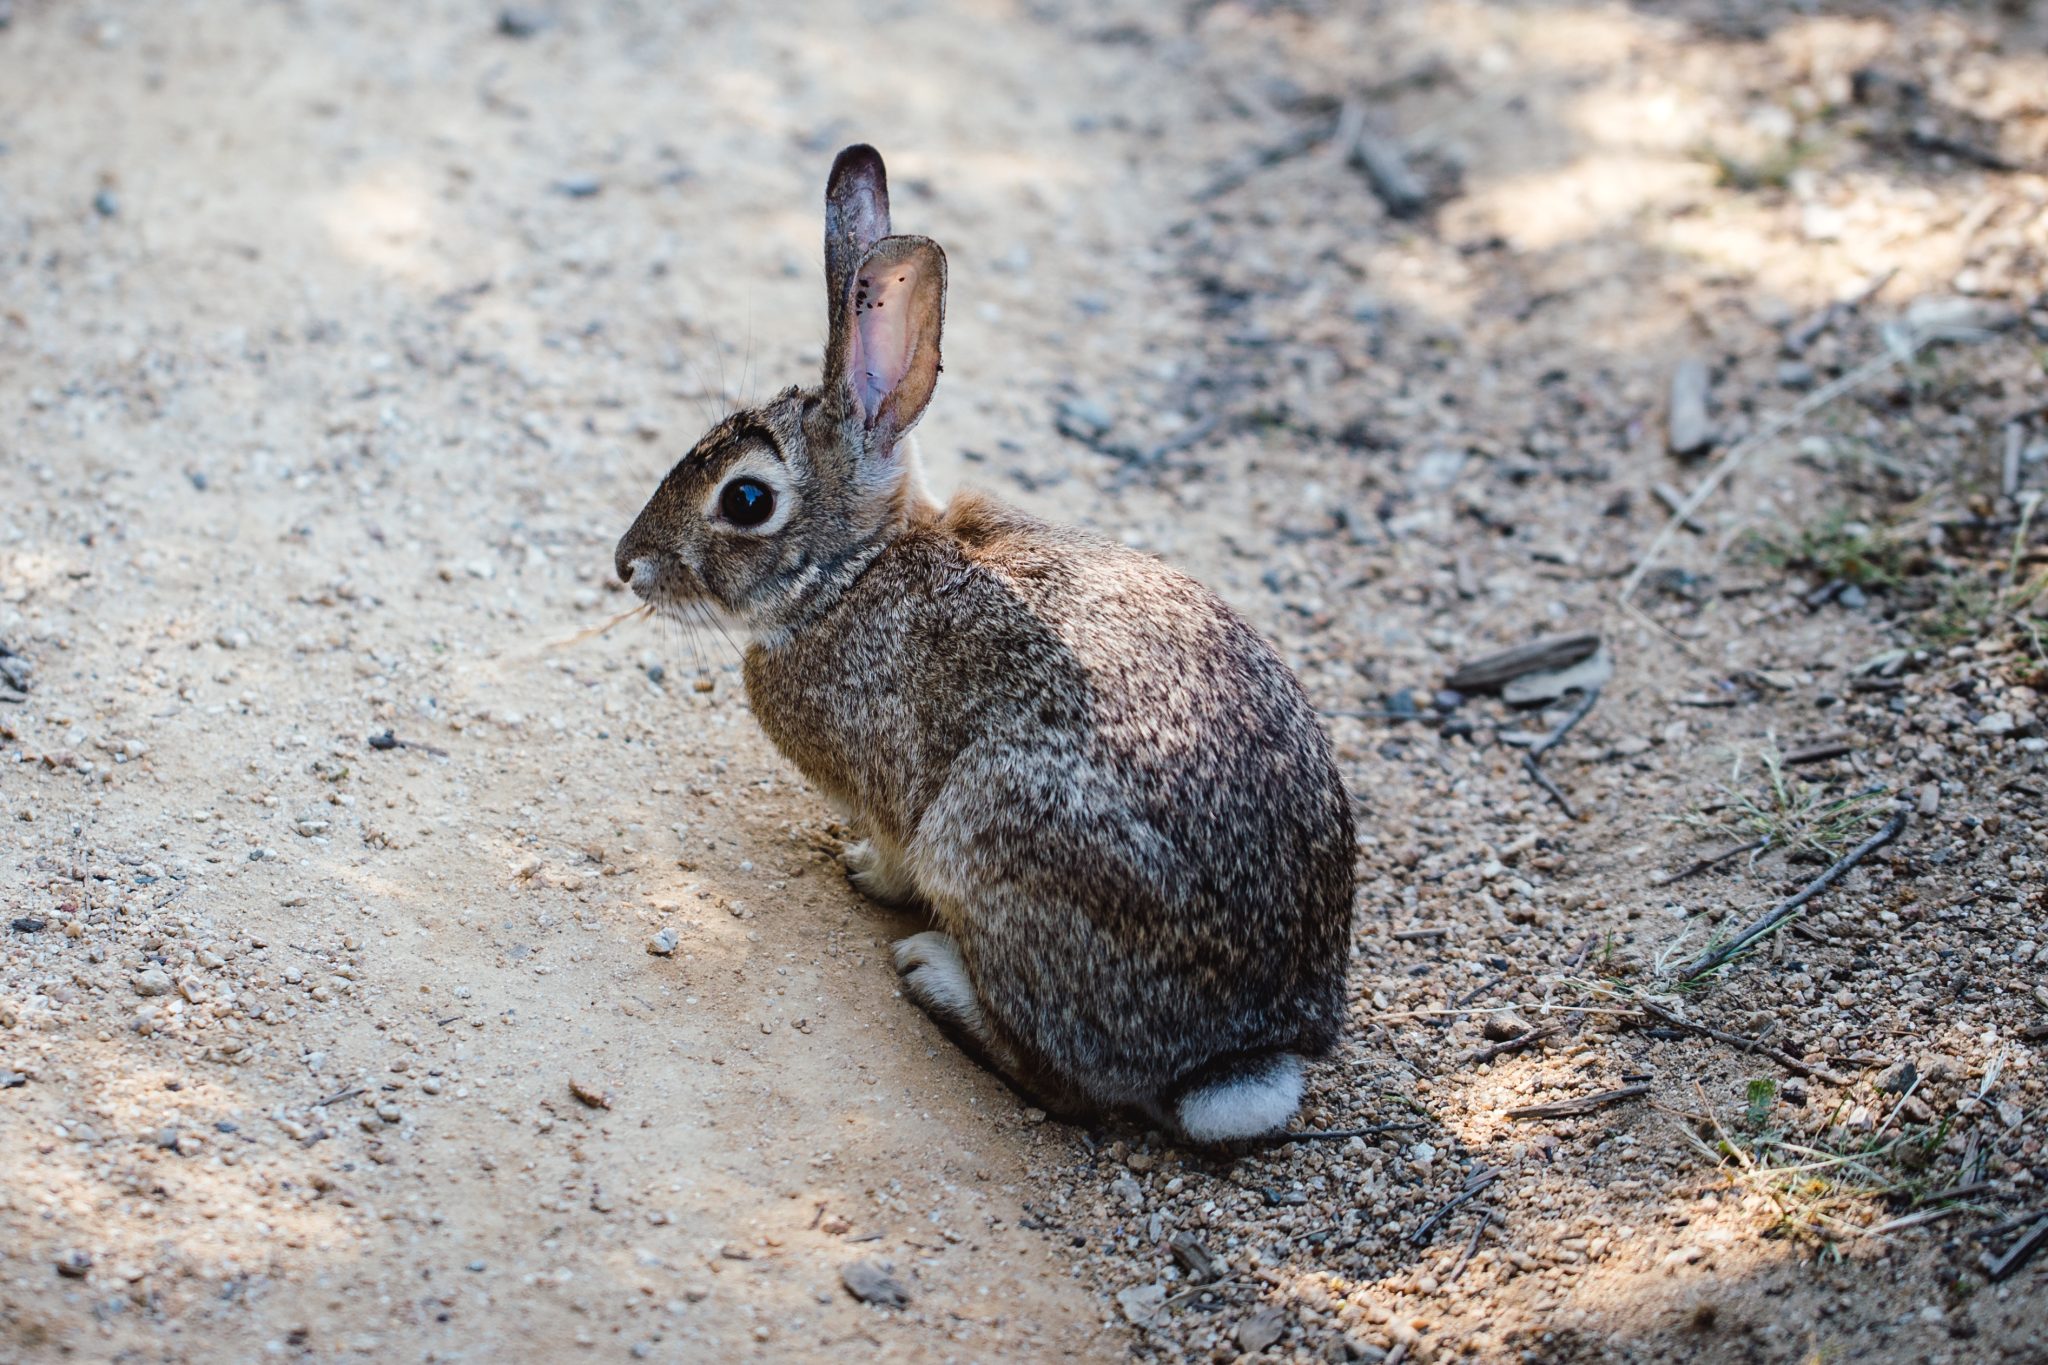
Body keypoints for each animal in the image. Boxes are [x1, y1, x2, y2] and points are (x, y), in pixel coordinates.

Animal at [615, 145, 1355, 1142]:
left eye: (746, 499)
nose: (627, 564)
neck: (858, 572)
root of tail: (1245, 1052)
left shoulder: (894, 793)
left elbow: (891, 852)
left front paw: (865, 872)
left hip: (993, 838)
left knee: (1068, 1081)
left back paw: (934, 972)